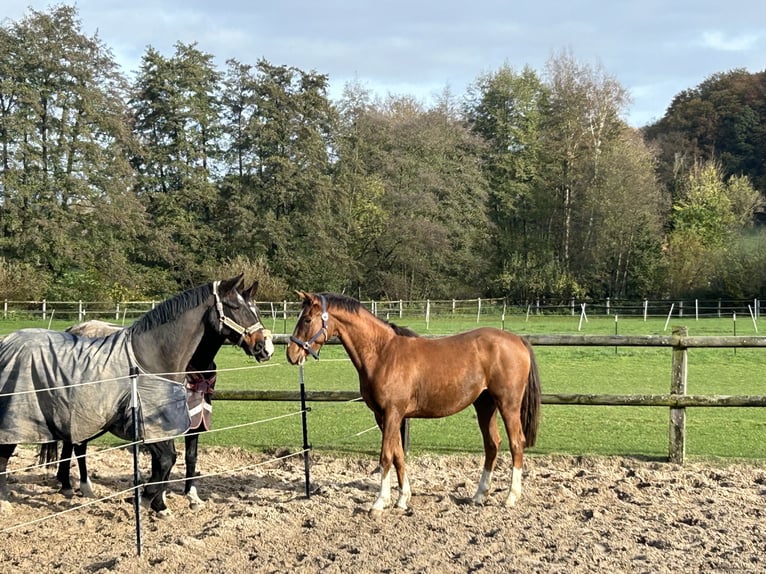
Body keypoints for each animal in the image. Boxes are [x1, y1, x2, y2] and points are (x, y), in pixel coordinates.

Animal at [0, 276, 276, 516]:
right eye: (235, 307)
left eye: (256, 309)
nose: (265, 347)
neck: (151, 359)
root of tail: (8, 343)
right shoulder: (149, 424)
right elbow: (165, 460)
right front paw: (149, 499)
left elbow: (176, 459)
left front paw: (161, 501)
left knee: (73, 445)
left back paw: (72, 486)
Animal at [284, 294, 544, 516]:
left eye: (307, 319)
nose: (291, 353)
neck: (382, 353)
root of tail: (517, 340)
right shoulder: (384, 416)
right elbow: (398, 455)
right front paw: (402, 499)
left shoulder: (392, 413)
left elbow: (386, 456)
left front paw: (379, 503)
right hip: (485, 405)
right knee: (492, 445)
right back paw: (479, 495)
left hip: (508, 405)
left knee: (516, 443)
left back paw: (511, 497)